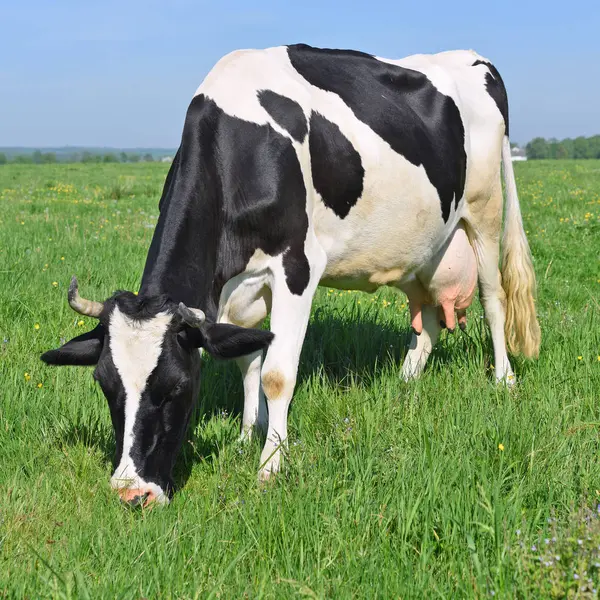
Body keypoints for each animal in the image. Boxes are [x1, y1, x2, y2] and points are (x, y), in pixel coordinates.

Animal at [41, 44, 540, 506]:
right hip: (426, 246)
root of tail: (473, 57)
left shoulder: (297, 265)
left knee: (494, 299)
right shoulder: (235, 290)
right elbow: (247, 358)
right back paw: (405, 383)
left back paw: (504, 379)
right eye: (105, 384)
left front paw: (270, 464)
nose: (132, 493)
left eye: (176, 386)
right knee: (430, 319)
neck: (241, 145)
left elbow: (276, 374)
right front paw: (247, 434)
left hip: (484, 210)